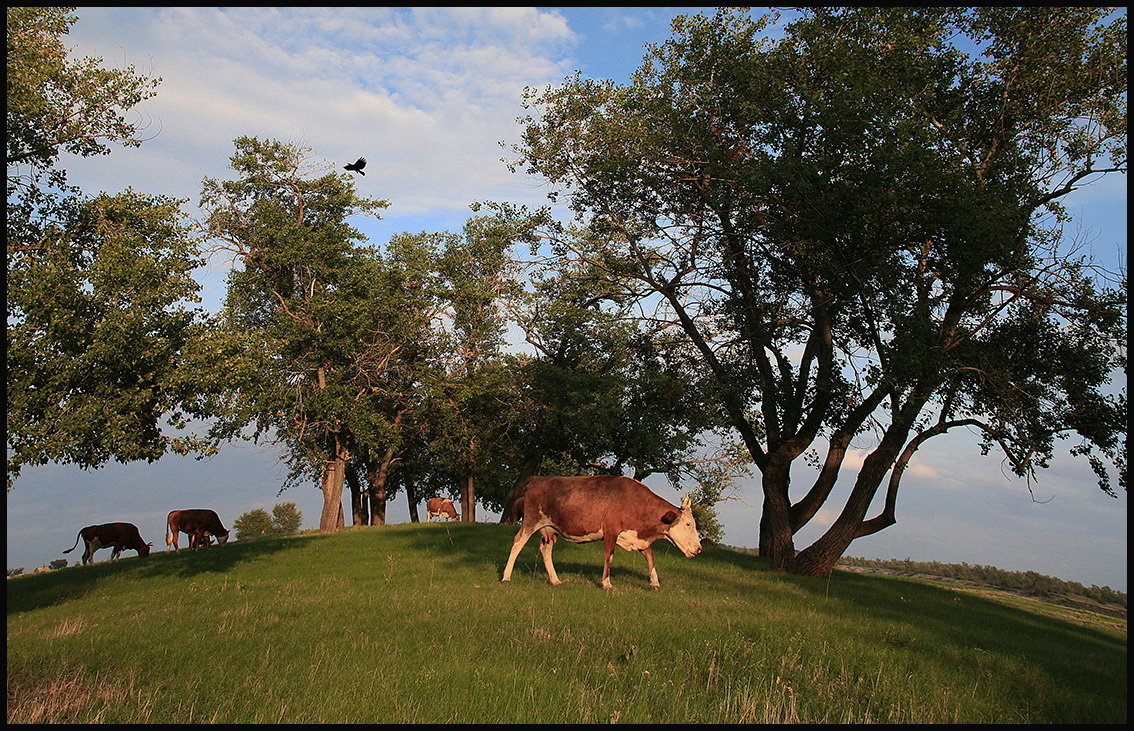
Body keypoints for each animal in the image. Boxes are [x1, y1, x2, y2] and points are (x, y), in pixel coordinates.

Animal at [503, 476, 698, 589]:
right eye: (688, 524)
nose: (699, 549)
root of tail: (536, 479)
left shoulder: (637, 536)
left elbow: (650, 556)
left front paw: (655, 582)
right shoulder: (611, 531)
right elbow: (609, 556)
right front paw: (606, 583)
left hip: (549, 529)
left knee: (545, 550)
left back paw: (555, 580)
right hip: (531, 521)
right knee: (518, 542)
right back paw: (506, 577)